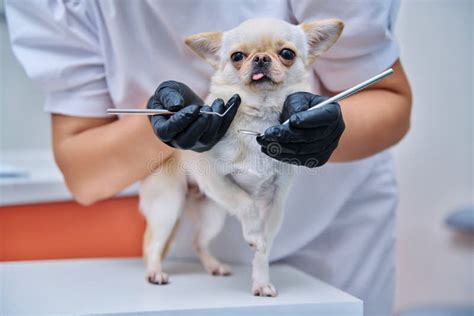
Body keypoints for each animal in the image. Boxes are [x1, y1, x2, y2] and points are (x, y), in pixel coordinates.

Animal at [139, 17, 342, 296]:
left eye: (287, 54)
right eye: (237, 56)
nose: (261, 58)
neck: (259, 116)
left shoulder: (275, 201)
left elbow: (263, 250)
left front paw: (261, 282)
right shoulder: (215, 180)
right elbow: (246, 204)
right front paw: (254, 235)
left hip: (212, 214)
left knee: (197, 242)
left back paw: (214, 266)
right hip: (168, 207)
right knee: (152, 242)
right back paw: (154, 272)